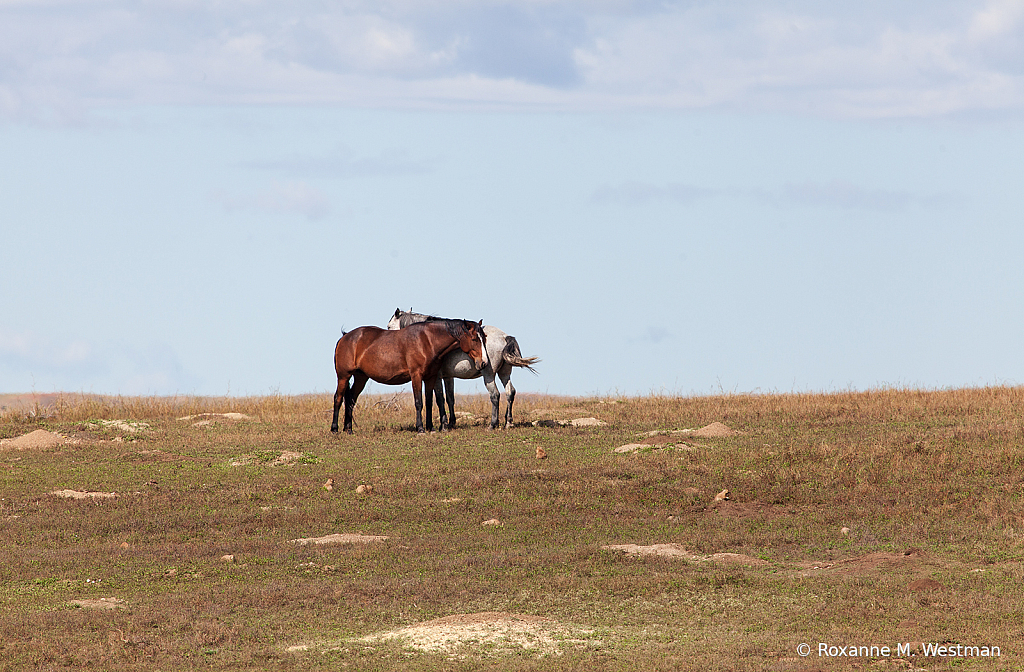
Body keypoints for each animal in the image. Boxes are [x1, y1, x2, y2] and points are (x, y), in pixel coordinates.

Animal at [329, 321, 485, 436]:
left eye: (484, 338)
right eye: (474, 339)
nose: (483, 363)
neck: (427, 340)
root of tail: (345, 337)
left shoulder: (431, 377)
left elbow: (429, 402)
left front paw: (431, 428)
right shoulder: (416, 376)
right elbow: (419, 402)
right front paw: (420, 429)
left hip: (361, 377)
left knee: (350, 399)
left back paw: (348, 429)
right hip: (343, 376)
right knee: (338, 398)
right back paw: (335, 429)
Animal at [387, 309, 540, 430]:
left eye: (389, 326)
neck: (429, 338)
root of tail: (504, 336)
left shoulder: (436, 377)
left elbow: (440, 399)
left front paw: (443, 425)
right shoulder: (448, 377)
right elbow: (450, 398)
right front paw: (451, 423)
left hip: (489, 375)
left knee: (495, 395)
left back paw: (493, 424)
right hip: (504, 373)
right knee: (510, 392)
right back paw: (508, 422)